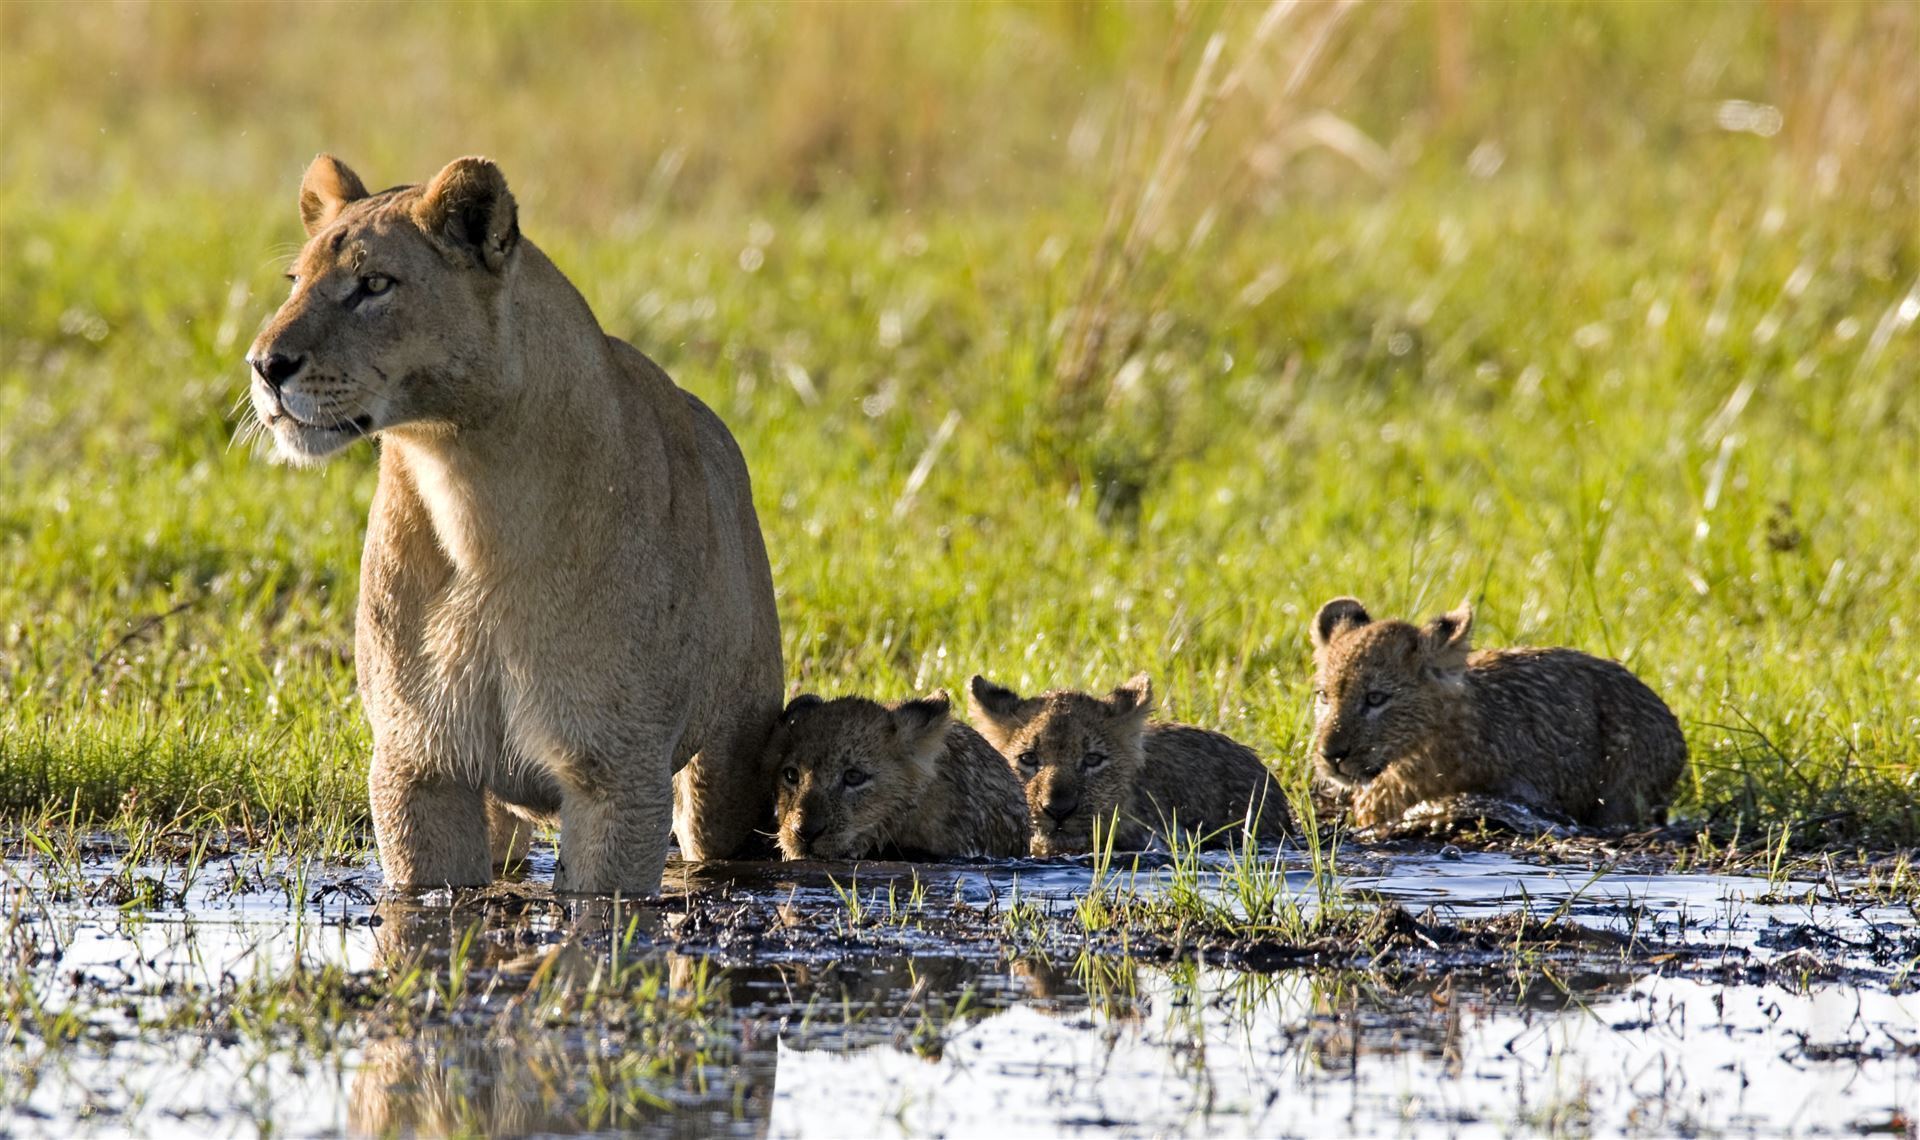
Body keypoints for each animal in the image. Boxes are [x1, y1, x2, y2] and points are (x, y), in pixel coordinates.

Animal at [246, 154, 783, 894]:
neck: (472, 492)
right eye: (295, 282)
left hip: (727, 769)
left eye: (374, 284)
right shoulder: (418, 768)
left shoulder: (618, 776)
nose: (265, 366)